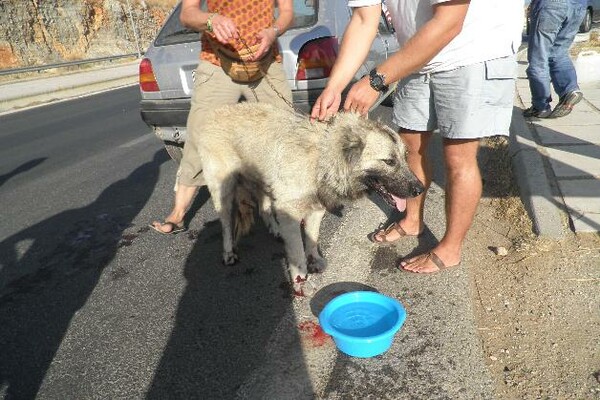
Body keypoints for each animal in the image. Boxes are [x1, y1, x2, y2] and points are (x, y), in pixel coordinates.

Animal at [199, 102, 424, 296]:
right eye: (389, 161)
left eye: (405, 158)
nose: (420, 189)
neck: (322, 158)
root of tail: (215, 112)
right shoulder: (290, 214)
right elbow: (298, 252)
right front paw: (300, 279)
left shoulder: (316, 210)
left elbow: (312, 239)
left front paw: (314, 260)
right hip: (223, 191)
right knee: (226, 224)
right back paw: (228, 252)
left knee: (264, 207)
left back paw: (275, 229)